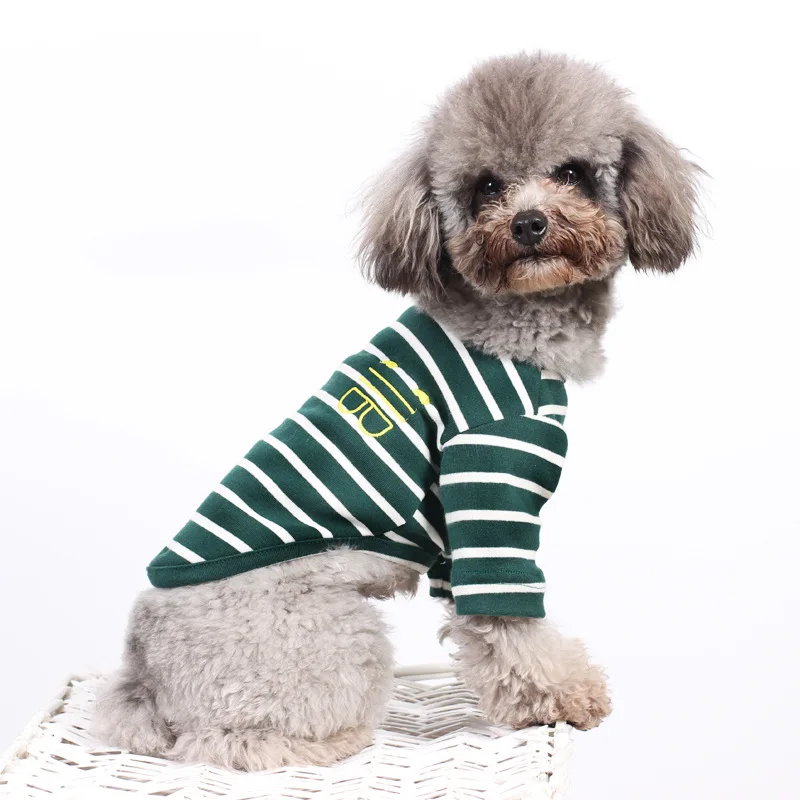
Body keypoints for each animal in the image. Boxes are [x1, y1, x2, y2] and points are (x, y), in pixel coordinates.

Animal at [93, 52, 700, 771]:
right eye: (486, 187)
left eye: (573, 172)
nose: (528, 224)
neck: (508, 329)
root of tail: (143, 674)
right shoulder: (487, 483)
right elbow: (509, 615)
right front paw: (562, 696)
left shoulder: (455, 537)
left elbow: (475, 617)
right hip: (326, 634)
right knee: (229, 741)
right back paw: (334, 740)